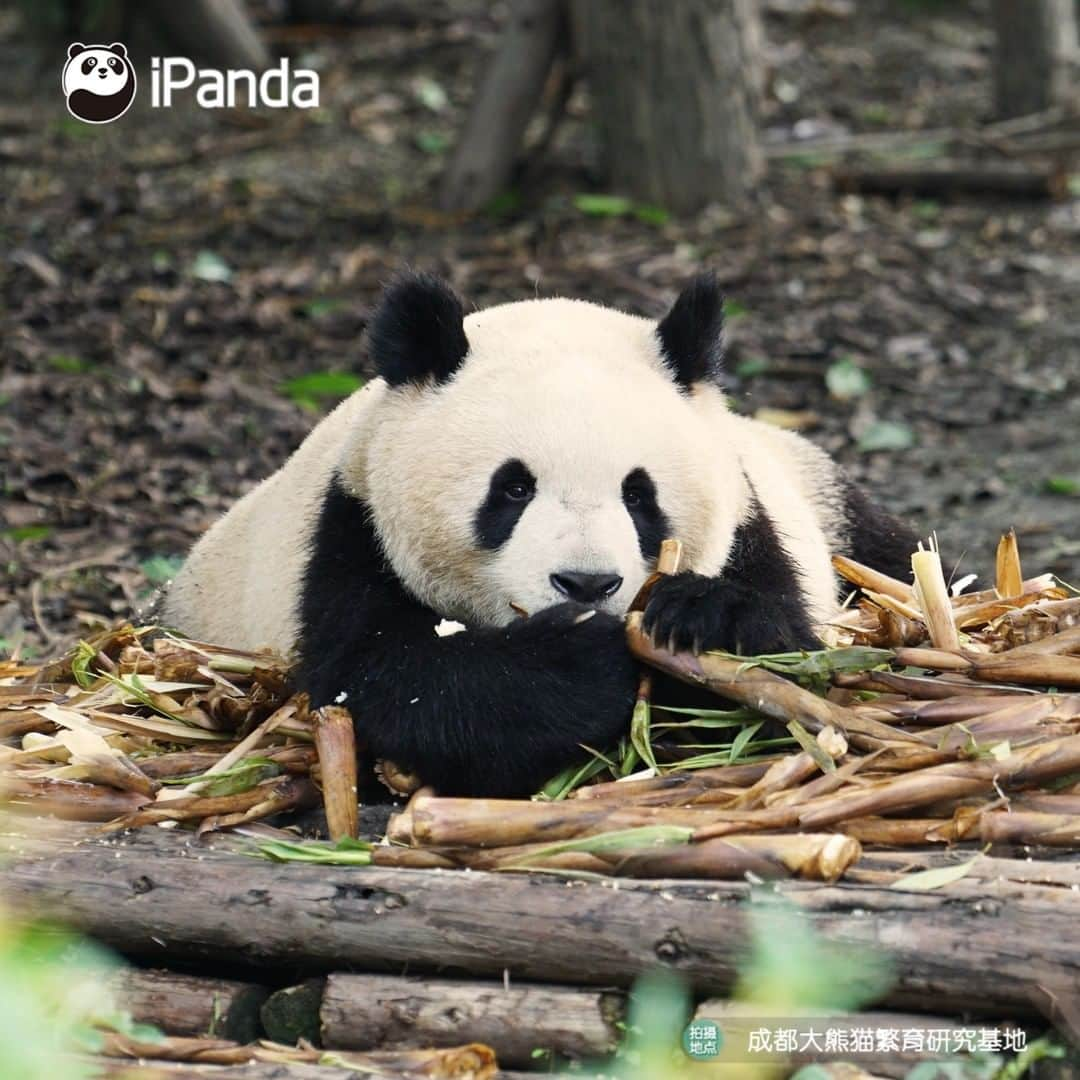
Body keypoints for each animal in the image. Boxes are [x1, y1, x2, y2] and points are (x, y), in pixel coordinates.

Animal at [164, 276, 915, 803]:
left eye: (639, 495)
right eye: (513, 489)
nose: (586, 583)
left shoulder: (753, 520)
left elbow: (786, 661)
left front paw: (700, 620)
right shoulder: (350, 529)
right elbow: (389, 681)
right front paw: (579, 660)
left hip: (825, 500)